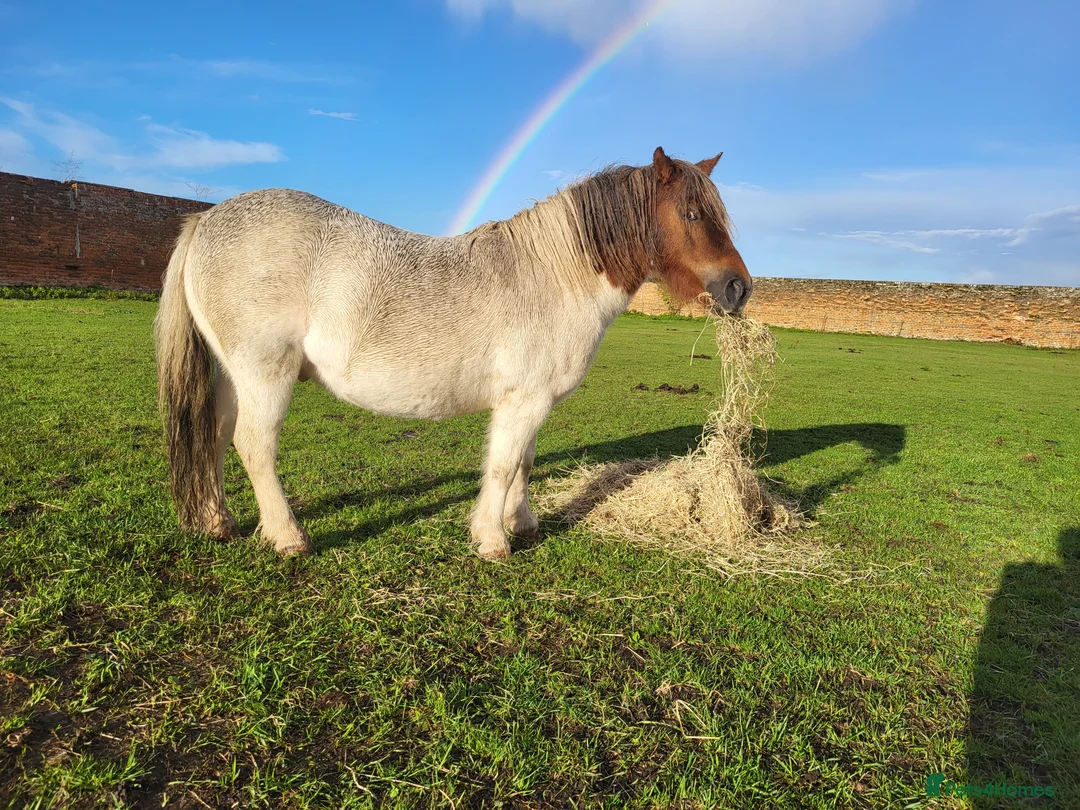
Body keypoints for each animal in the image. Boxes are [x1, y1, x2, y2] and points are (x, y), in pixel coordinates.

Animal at [154, 146, 753, 559]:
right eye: (692, 213)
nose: (738, 288)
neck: (553, 276)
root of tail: (206, 220)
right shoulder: (523, 401)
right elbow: (504, 465)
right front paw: (492, 540)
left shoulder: (532, 402)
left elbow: (525, 463)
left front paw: (522, 524)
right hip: (265, 373)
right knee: (255, 446)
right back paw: (287, 537)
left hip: (234, 375)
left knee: (215, 433)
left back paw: (217, 521)